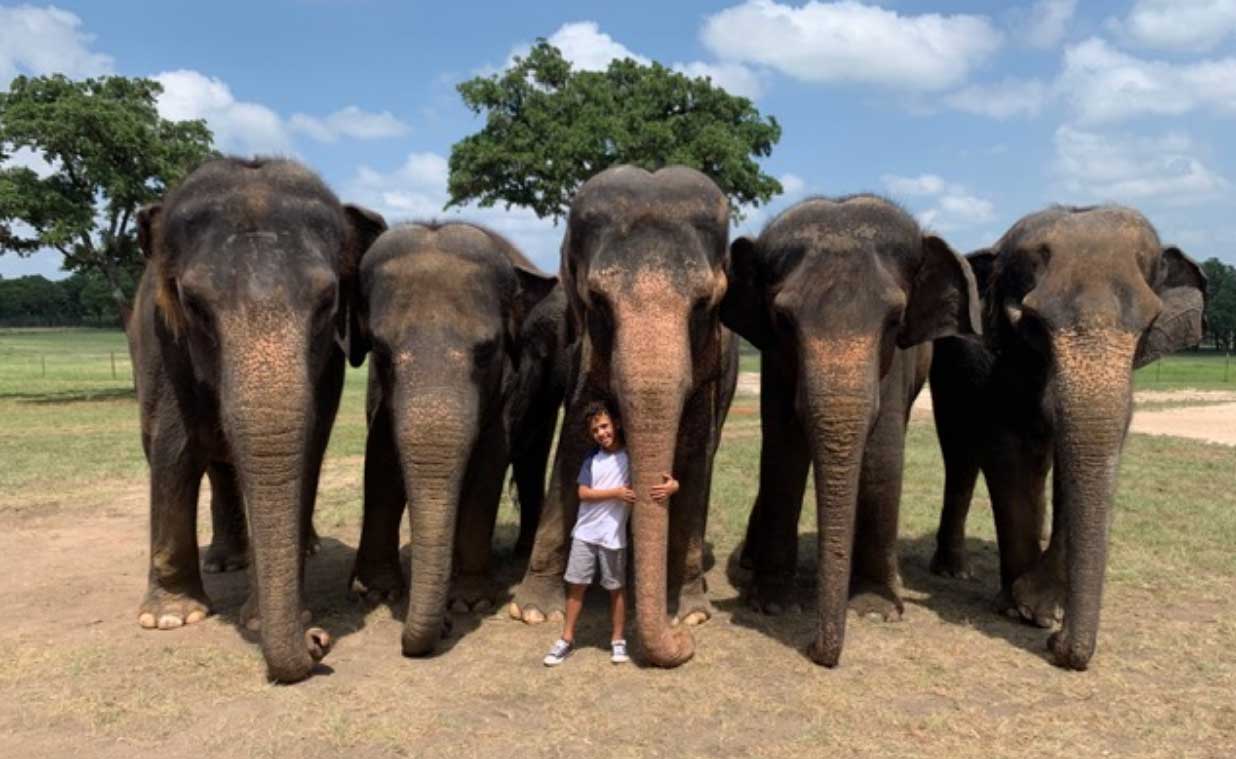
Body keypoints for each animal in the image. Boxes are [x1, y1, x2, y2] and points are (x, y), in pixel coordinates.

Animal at [129, 156, 386, 682]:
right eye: (194, 304)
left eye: (328, 302)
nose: (318, 642)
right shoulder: (161, 341)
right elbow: (173, 448)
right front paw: (170, 618)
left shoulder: (326, 365)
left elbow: (309, 447)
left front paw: (276, 615)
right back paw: (227, 563)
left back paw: (293, 550)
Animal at [346, 222, 558, 656]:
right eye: (380, 350)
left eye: (487, 351)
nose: (441, 628)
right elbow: (380, 459)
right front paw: (376, 593)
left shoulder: (510, 385)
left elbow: (490, 465)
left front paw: (469, 602)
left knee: (531, 458)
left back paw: (521, 552)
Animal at [508, 165, 739, 668]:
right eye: (597, 300)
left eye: (704, 304)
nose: (684, 645)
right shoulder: (586, 355)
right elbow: (572, 450)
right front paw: (532, 611)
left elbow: (696, 459)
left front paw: (691, 614)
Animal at [720, 195, 981, 666]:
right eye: (783, 320)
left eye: (895, 320)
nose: (814, 649)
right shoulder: (774, 358)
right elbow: (781, 450)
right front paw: (774, 605)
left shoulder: (895, 367)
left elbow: (882, 456)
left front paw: (875, 609)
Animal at [928, 205, 1207, 670]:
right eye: (1032, 323)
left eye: (1148, 326)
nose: (1059, 648)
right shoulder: (998, 371)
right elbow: (1008, 454)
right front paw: (1019, 609)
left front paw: (1043, 610)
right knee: (960, 456)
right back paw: (953, 571)